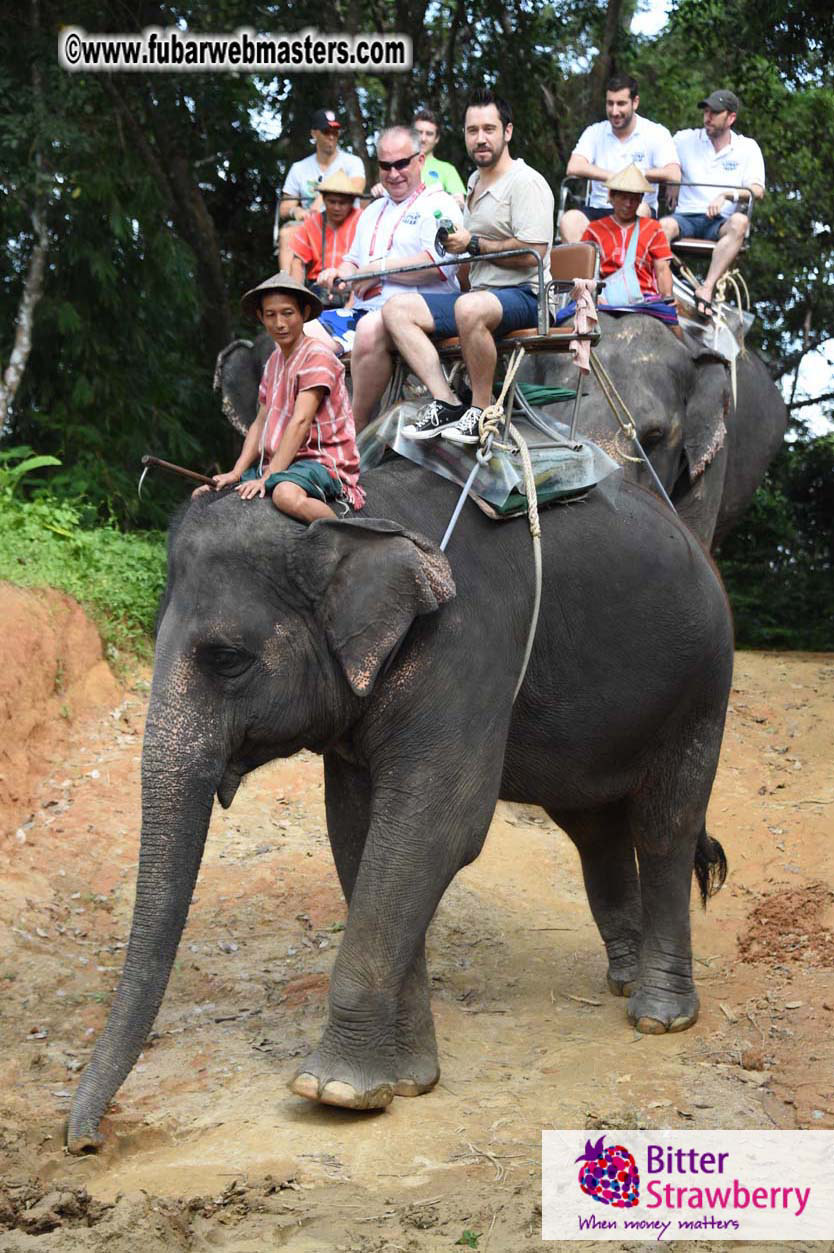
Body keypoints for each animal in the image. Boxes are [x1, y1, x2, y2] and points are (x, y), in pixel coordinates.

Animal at [66, 463, 734, 1152]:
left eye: (228, 659)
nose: (88, 1141)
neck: (354, 521)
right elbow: (358, 836)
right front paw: (407, 1082)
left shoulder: (463, 650)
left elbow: (436, 828)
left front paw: (331, 1090)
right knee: (593, 824)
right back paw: (624, 978)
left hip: (702, 683)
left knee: (665, 825)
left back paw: (659, 1017)